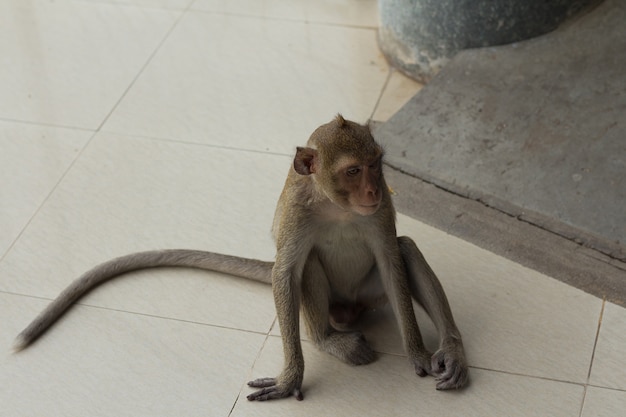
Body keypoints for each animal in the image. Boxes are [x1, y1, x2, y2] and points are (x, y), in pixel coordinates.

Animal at [13, 114, 468, 400]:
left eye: (376, 165)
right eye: (354, 171)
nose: (373, 189)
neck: (335, 206)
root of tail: (349, 310)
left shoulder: (380, 214)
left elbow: (391, 258)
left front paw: (417, 352)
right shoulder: (297, 214)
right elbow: (286, 273)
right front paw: (290, 378)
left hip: (366, 295)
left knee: (405, 249)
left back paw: (452, 348)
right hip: (337, 303)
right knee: (308, 266)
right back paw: (327, 340)